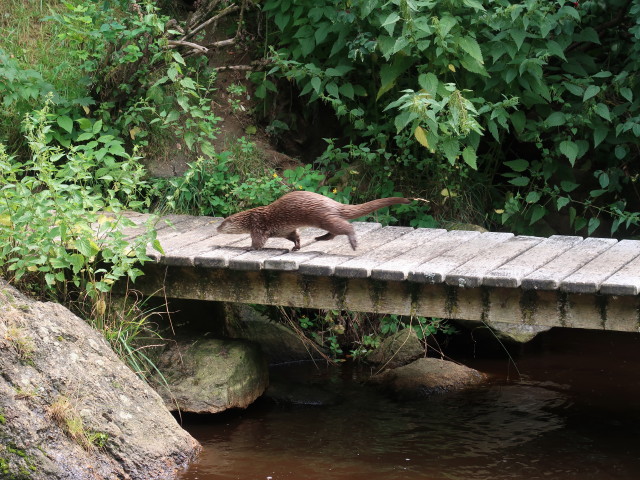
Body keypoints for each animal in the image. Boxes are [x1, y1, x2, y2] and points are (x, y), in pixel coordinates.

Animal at [218, 189, 412, 251]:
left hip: (323, 216)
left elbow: (258, 242)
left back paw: (353, 242)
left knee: (345, 227)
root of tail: (333, 203)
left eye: (221, 223)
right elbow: (294, 235)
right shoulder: (284, 230)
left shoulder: (258, 226)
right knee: (334, 232)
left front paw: (249, 247)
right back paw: (320, 238)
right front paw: (296, 247)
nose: (217, 229)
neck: (250, 217)